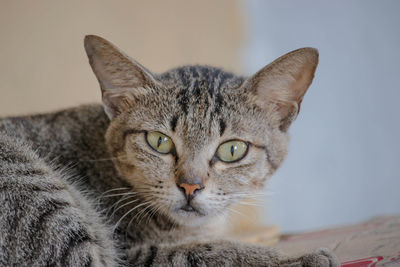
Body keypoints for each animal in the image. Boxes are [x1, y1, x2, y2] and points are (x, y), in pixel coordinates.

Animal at [0, 34, 340, 266]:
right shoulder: (134, 254)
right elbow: (207, 251)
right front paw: (294, 259)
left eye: (232, 150)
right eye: (158, 141)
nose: (190, 186)